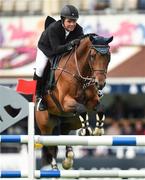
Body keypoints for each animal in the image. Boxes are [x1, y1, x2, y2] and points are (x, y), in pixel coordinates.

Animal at [35, 33, 113, 170]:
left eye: (108, 57)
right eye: (92, 56)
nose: (100, 84)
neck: (78, 72)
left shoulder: (92, 101)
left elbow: (100, 108)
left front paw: (98, 129)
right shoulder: (65, 101)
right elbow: (81, 109)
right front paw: (86, 131)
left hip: (70, 122)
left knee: (65, 135)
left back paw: (68, 159)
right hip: (46, 127)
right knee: (50, 146)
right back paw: (55, 167)